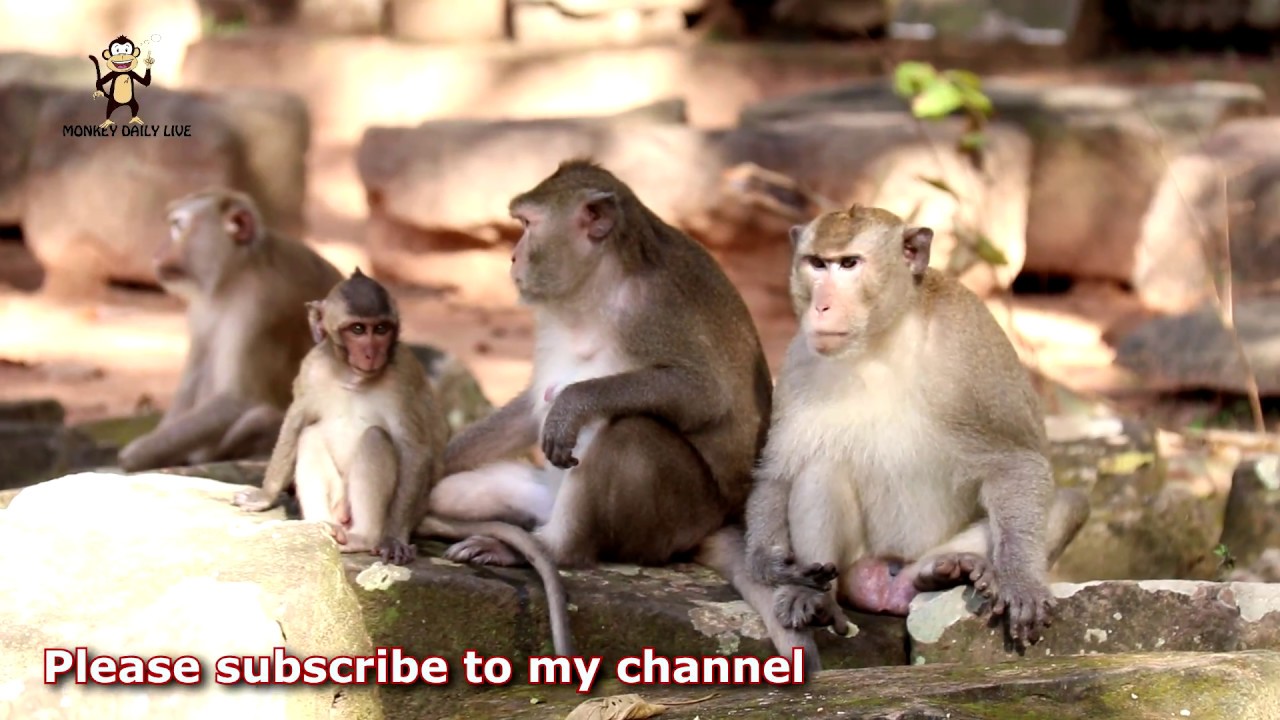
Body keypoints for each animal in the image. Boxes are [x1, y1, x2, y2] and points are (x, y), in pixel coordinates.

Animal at [117, 189, 344, 473]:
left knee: (257, 418)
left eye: (178, 226)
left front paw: (137, 454)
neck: (238, 271)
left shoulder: (259, 306)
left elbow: (238, 400)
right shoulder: (201, 307)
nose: (157, 253)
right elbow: (192, 376)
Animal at [232, 270, 576, 657]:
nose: (371, 352)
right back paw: (322, 529)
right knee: (311, 435)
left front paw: (394, 540)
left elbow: (414, 449)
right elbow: (296, 422)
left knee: (375, 438)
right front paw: (264, 496)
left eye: (381, 329)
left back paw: (363, 537)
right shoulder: (312, 369)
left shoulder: (402, 376)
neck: (352, 377)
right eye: (357, 329)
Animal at [431, 158, 822, 671]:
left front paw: (573, 403)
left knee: (628, 431)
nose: (513, 259)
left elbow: (705, 394)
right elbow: (531, 407)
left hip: (676, 519)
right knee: (462, 494)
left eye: (527, 225)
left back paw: (553, 549)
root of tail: (720, 520)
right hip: (540, 497)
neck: (600, 284)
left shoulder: (653, 309)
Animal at [743, 204, 1091, 649]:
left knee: (1068, 503)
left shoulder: (968, 347)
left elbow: (1017, 463)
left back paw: (943, 571)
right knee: (820, 469)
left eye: (849, 263)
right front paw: (768, 564)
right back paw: (818, 596)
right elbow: (779, 474)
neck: (881, 342)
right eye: (817, 263)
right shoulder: (798, 360)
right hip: (858, 559)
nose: (821, 308)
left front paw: (1021, 580)